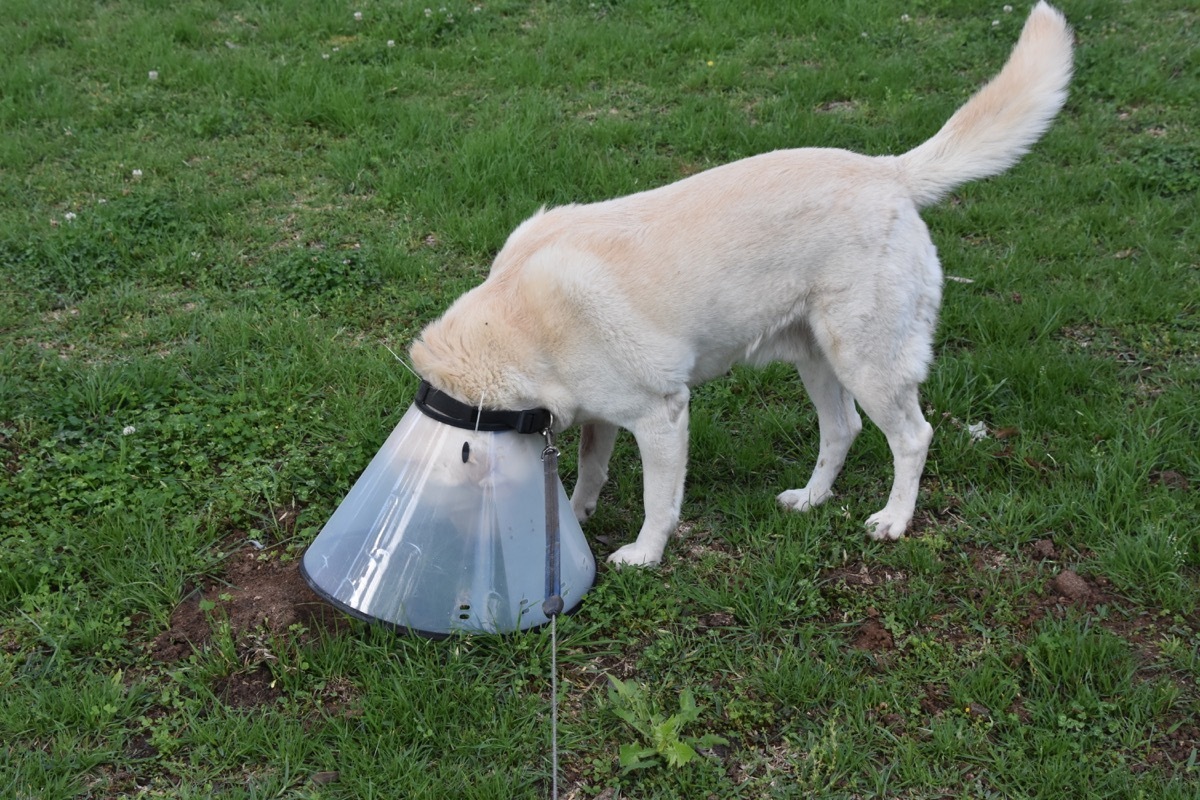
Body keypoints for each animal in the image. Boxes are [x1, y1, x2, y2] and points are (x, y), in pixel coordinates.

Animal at [408, 6, 1075, 568]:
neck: (522, 322)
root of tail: (889, 171)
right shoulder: (601, 419)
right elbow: (589, 474)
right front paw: (574, 519)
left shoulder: (662, 417)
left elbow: (657, 502)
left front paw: (644, 555)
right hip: (818, 359)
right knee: (844, 430)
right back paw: (810, 499)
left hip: (869, 364)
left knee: (913, 437)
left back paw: (893, 520)